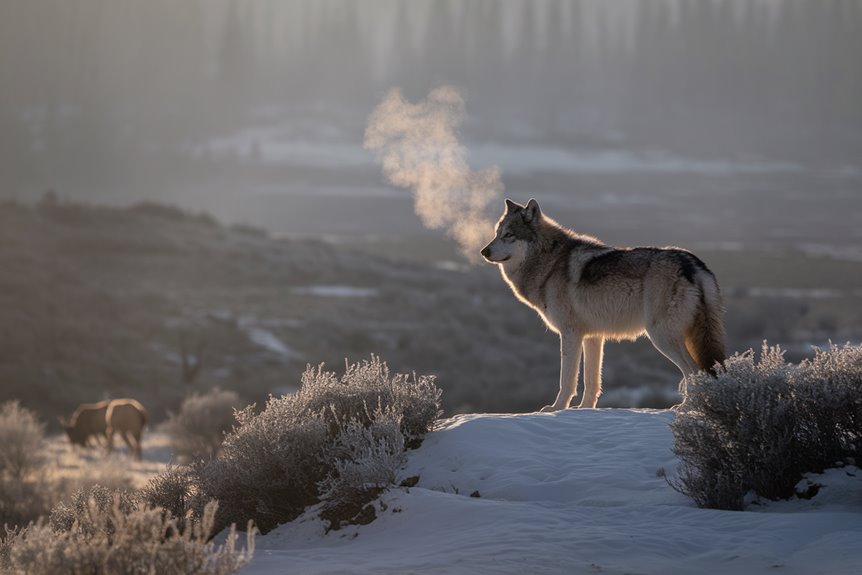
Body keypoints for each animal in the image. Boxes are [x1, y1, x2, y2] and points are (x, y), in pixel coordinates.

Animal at [481, 198, 725, 411]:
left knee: (694, 371)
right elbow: (591, 382)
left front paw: (557, 409)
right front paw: (584, 410)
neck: (549, 262)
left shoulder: (570, 334)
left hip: (662, 337)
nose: (484, 251)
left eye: (509, 235)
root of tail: (692, 264)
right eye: (496, 234)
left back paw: (687, 407)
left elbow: (567, 380)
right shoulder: (593, 337)